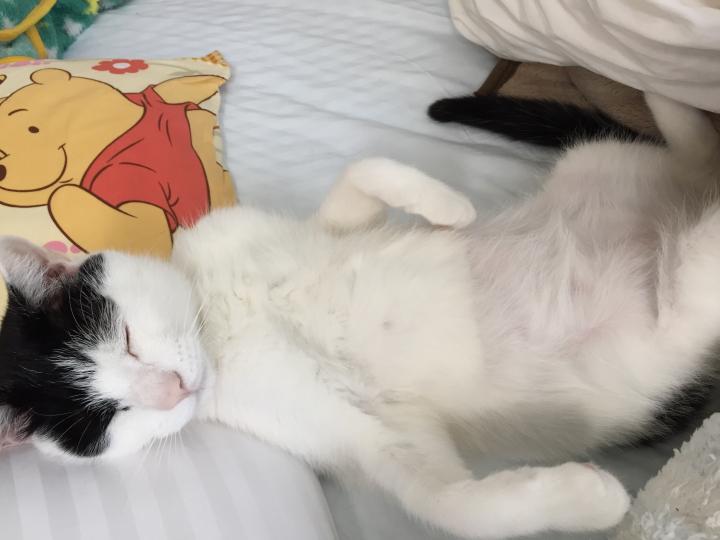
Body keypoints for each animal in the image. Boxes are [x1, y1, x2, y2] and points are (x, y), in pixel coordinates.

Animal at [1, 92, 719, 539]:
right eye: (111, 418)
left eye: (126, 337)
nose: (172, 388)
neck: (221, 328)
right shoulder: (365, 432)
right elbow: (450, 504)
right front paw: (588, 498)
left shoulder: (309, 229)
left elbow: (366, 168)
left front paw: (450, 209)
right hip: (671, 328)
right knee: (702, 227)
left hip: (600, 162)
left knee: (691, 152)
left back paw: (670, 88)